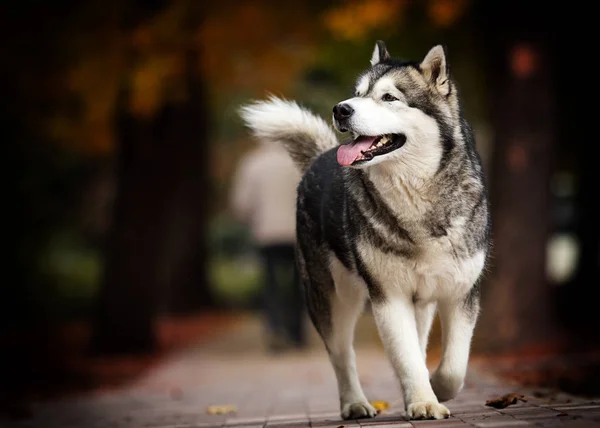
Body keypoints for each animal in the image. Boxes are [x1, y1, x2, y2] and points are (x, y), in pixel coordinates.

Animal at [240, 41, 492, 420]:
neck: (417, 198)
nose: (341, 109)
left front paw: (434, 390)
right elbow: (408, 357)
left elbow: (453, 367)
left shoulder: (461, 293)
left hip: (419, 303)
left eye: (389, 97)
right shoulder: (388, 295)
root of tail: (321, 156)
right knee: (343, 355)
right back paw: (355, 403)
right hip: (335, 299)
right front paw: (424, 400)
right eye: (358, 94)